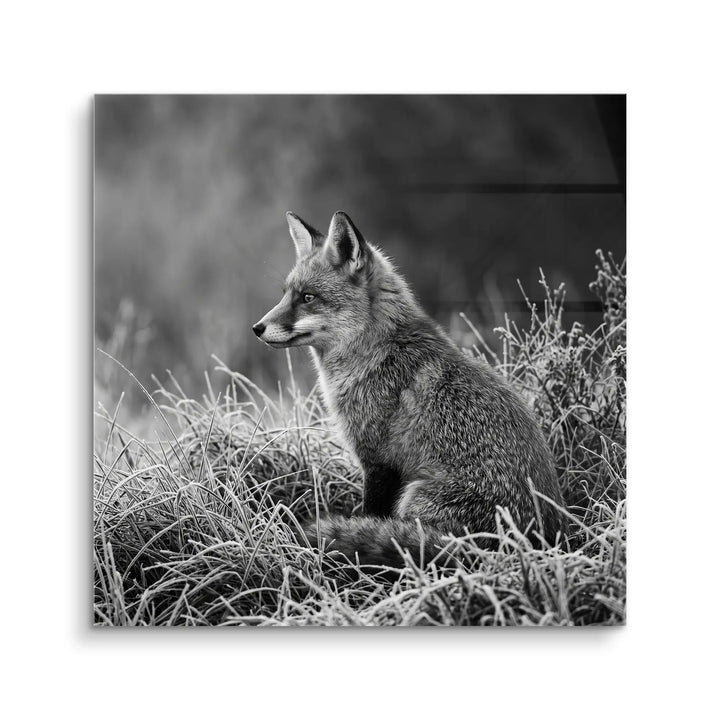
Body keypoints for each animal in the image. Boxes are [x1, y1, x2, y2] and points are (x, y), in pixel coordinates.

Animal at [253, 210, 565, 568]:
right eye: (286, 294)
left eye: (307, 298)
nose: (257, 328)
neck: (377, 351)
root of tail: (534, 543)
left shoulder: (378, 462)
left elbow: (370, 514)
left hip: (414, 496)